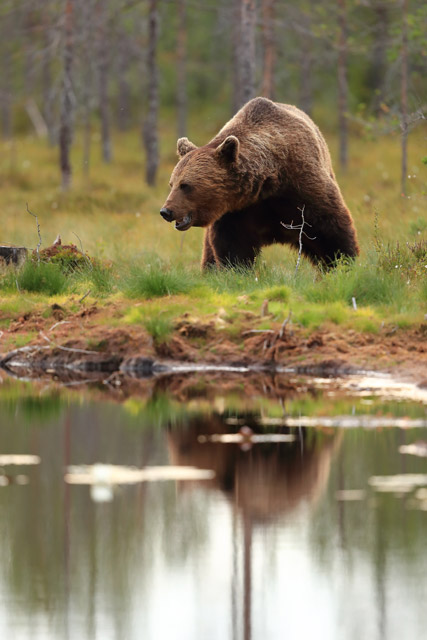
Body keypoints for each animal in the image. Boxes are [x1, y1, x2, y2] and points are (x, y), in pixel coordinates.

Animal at [160, 97, 359, 269]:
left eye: (185, 185)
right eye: (171, 184)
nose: (166, 211)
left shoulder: (301, 186)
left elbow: (330, 228)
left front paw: (343, 263)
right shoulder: (236, 211)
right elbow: (233, 245)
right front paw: (236, 269)